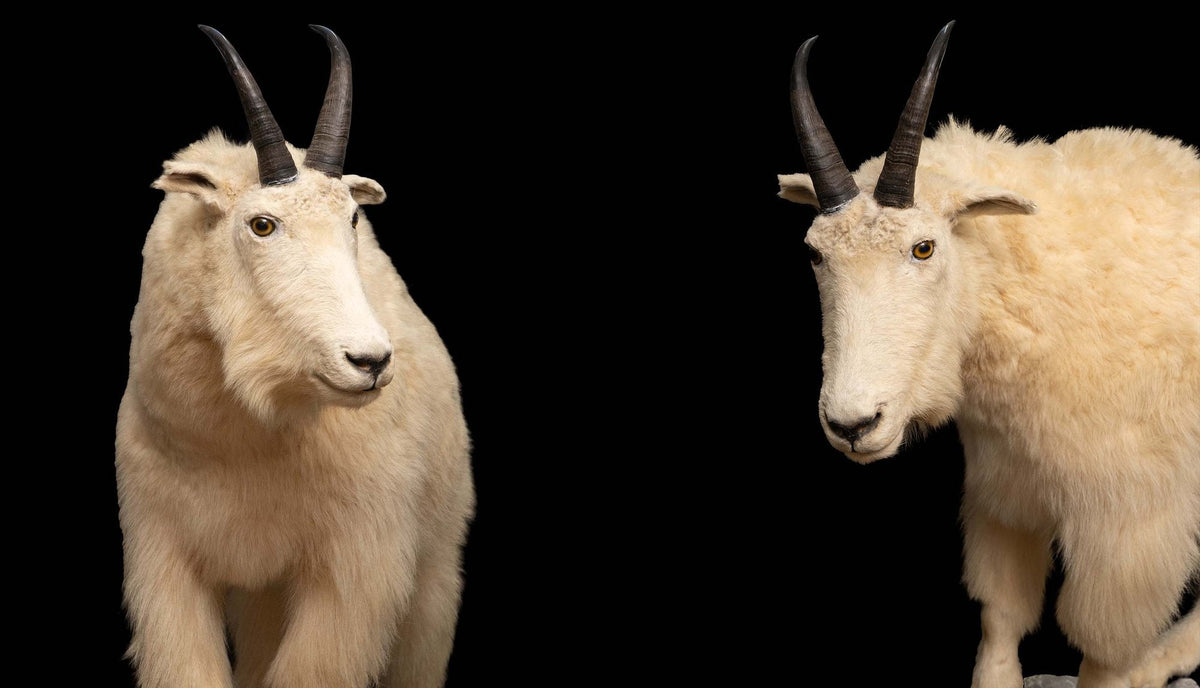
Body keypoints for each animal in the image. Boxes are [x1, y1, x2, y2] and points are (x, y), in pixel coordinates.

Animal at [116, 25, 474, 688]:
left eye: (354, 217)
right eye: (262, 224)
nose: (370, 361)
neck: (242, 442)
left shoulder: (353, 571)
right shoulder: (166, 559)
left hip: (433, 571)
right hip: (264, 595)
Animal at [778, 21, 1200, 688]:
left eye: (924, 247)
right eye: (816, 253)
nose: (853, 425)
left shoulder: (1130, 526)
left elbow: (1102, 651)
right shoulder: (1006, 488)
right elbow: (1002, 614)